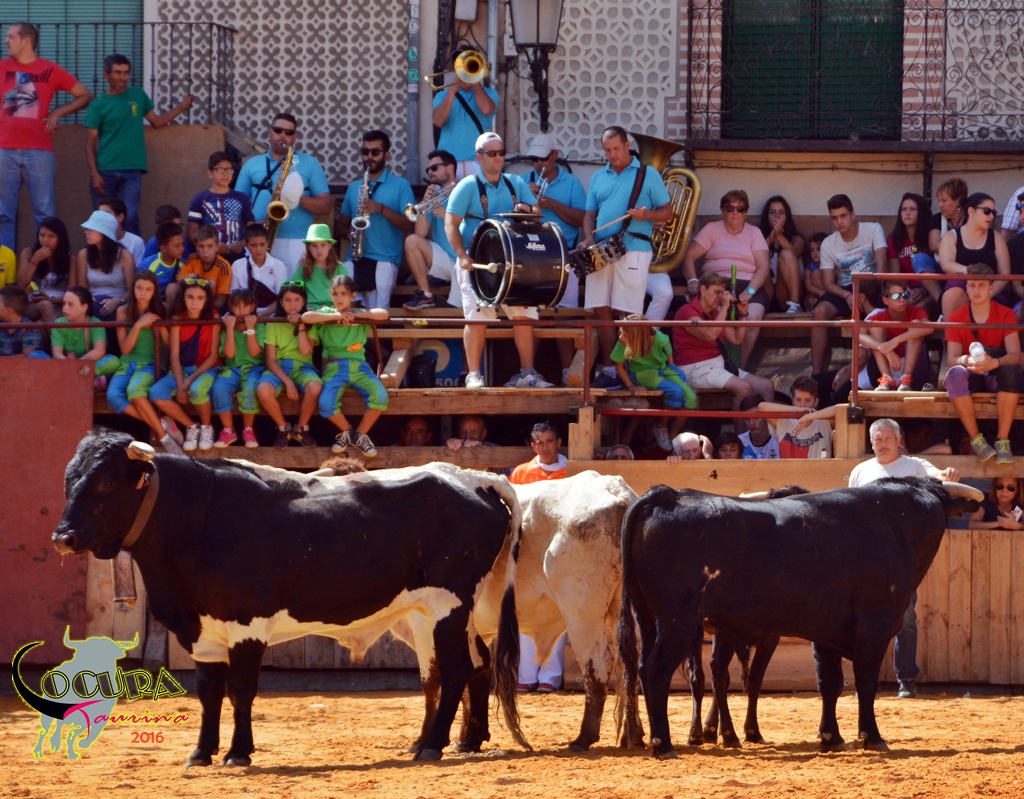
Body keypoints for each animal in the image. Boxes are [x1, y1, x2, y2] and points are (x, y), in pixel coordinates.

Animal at [52, 430, 527, 767]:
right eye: (68, 481)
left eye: (106, 481)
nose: (63, 538)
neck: (197, 518)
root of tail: (472, 477)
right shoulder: (203, 631)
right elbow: (208, 692)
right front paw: (201, 753)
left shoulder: (247, 624)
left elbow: (241, 690)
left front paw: (237, 753)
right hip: (442, 612)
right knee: (473, 665)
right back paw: (457, 741)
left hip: (448, 606)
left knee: (457, 669)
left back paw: (434, 745)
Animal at [618, 477, 981, 759]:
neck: (897, 522)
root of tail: (668, 495)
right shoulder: (873, 629)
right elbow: (865, 684)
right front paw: (871, 736)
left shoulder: (826, 633)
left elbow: (830, 683)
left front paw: (830, 737)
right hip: (677, 622)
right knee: (657, 671)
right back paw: (664, 743)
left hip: (649, 618)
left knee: (646, 668)